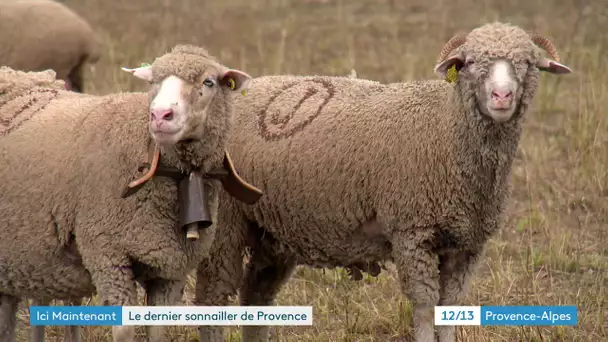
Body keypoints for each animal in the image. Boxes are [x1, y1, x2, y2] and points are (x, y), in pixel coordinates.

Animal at [0, 43, 258, 342]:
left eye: (209, 82)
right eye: (153, 82)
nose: (159, 115)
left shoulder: (170, 267)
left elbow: (158, 330)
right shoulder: (107, 254)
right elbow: (124, 330)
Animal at [194, 22, 568, 342]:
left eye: (528, 63)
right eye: (470, 63)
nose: (502, 97)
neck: (447, 128)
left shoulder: (467, 245)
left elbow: (451, 308)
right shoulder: (412, 232)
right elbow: (424, 308)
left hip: (272, 232)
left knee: (256, 296)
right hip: (225, 223)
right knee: (213, 296)